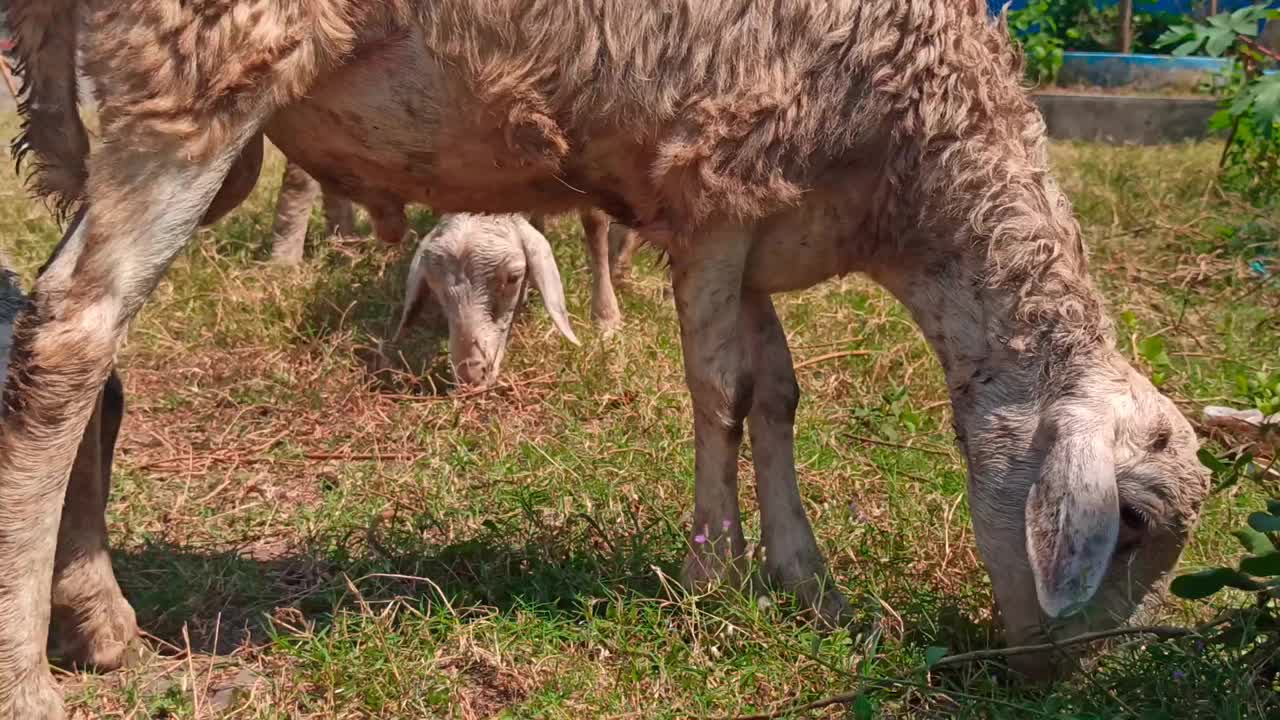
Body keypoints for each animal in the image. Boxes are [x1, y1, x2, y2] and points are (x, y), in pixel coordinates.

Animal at [0, 1, 1213, 712]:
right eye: (1130, 526)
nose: (1063, 678)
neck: (918, 179)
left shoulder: (756, 220)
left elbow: (779, 396)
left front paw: (806, 582)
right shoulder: (714, 188)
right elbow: (722, 390)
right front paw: (713, 576)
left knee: (78, 346)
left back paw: (102, 626)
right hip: (196, 70)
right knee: (68, 338)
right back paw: (30, 679)